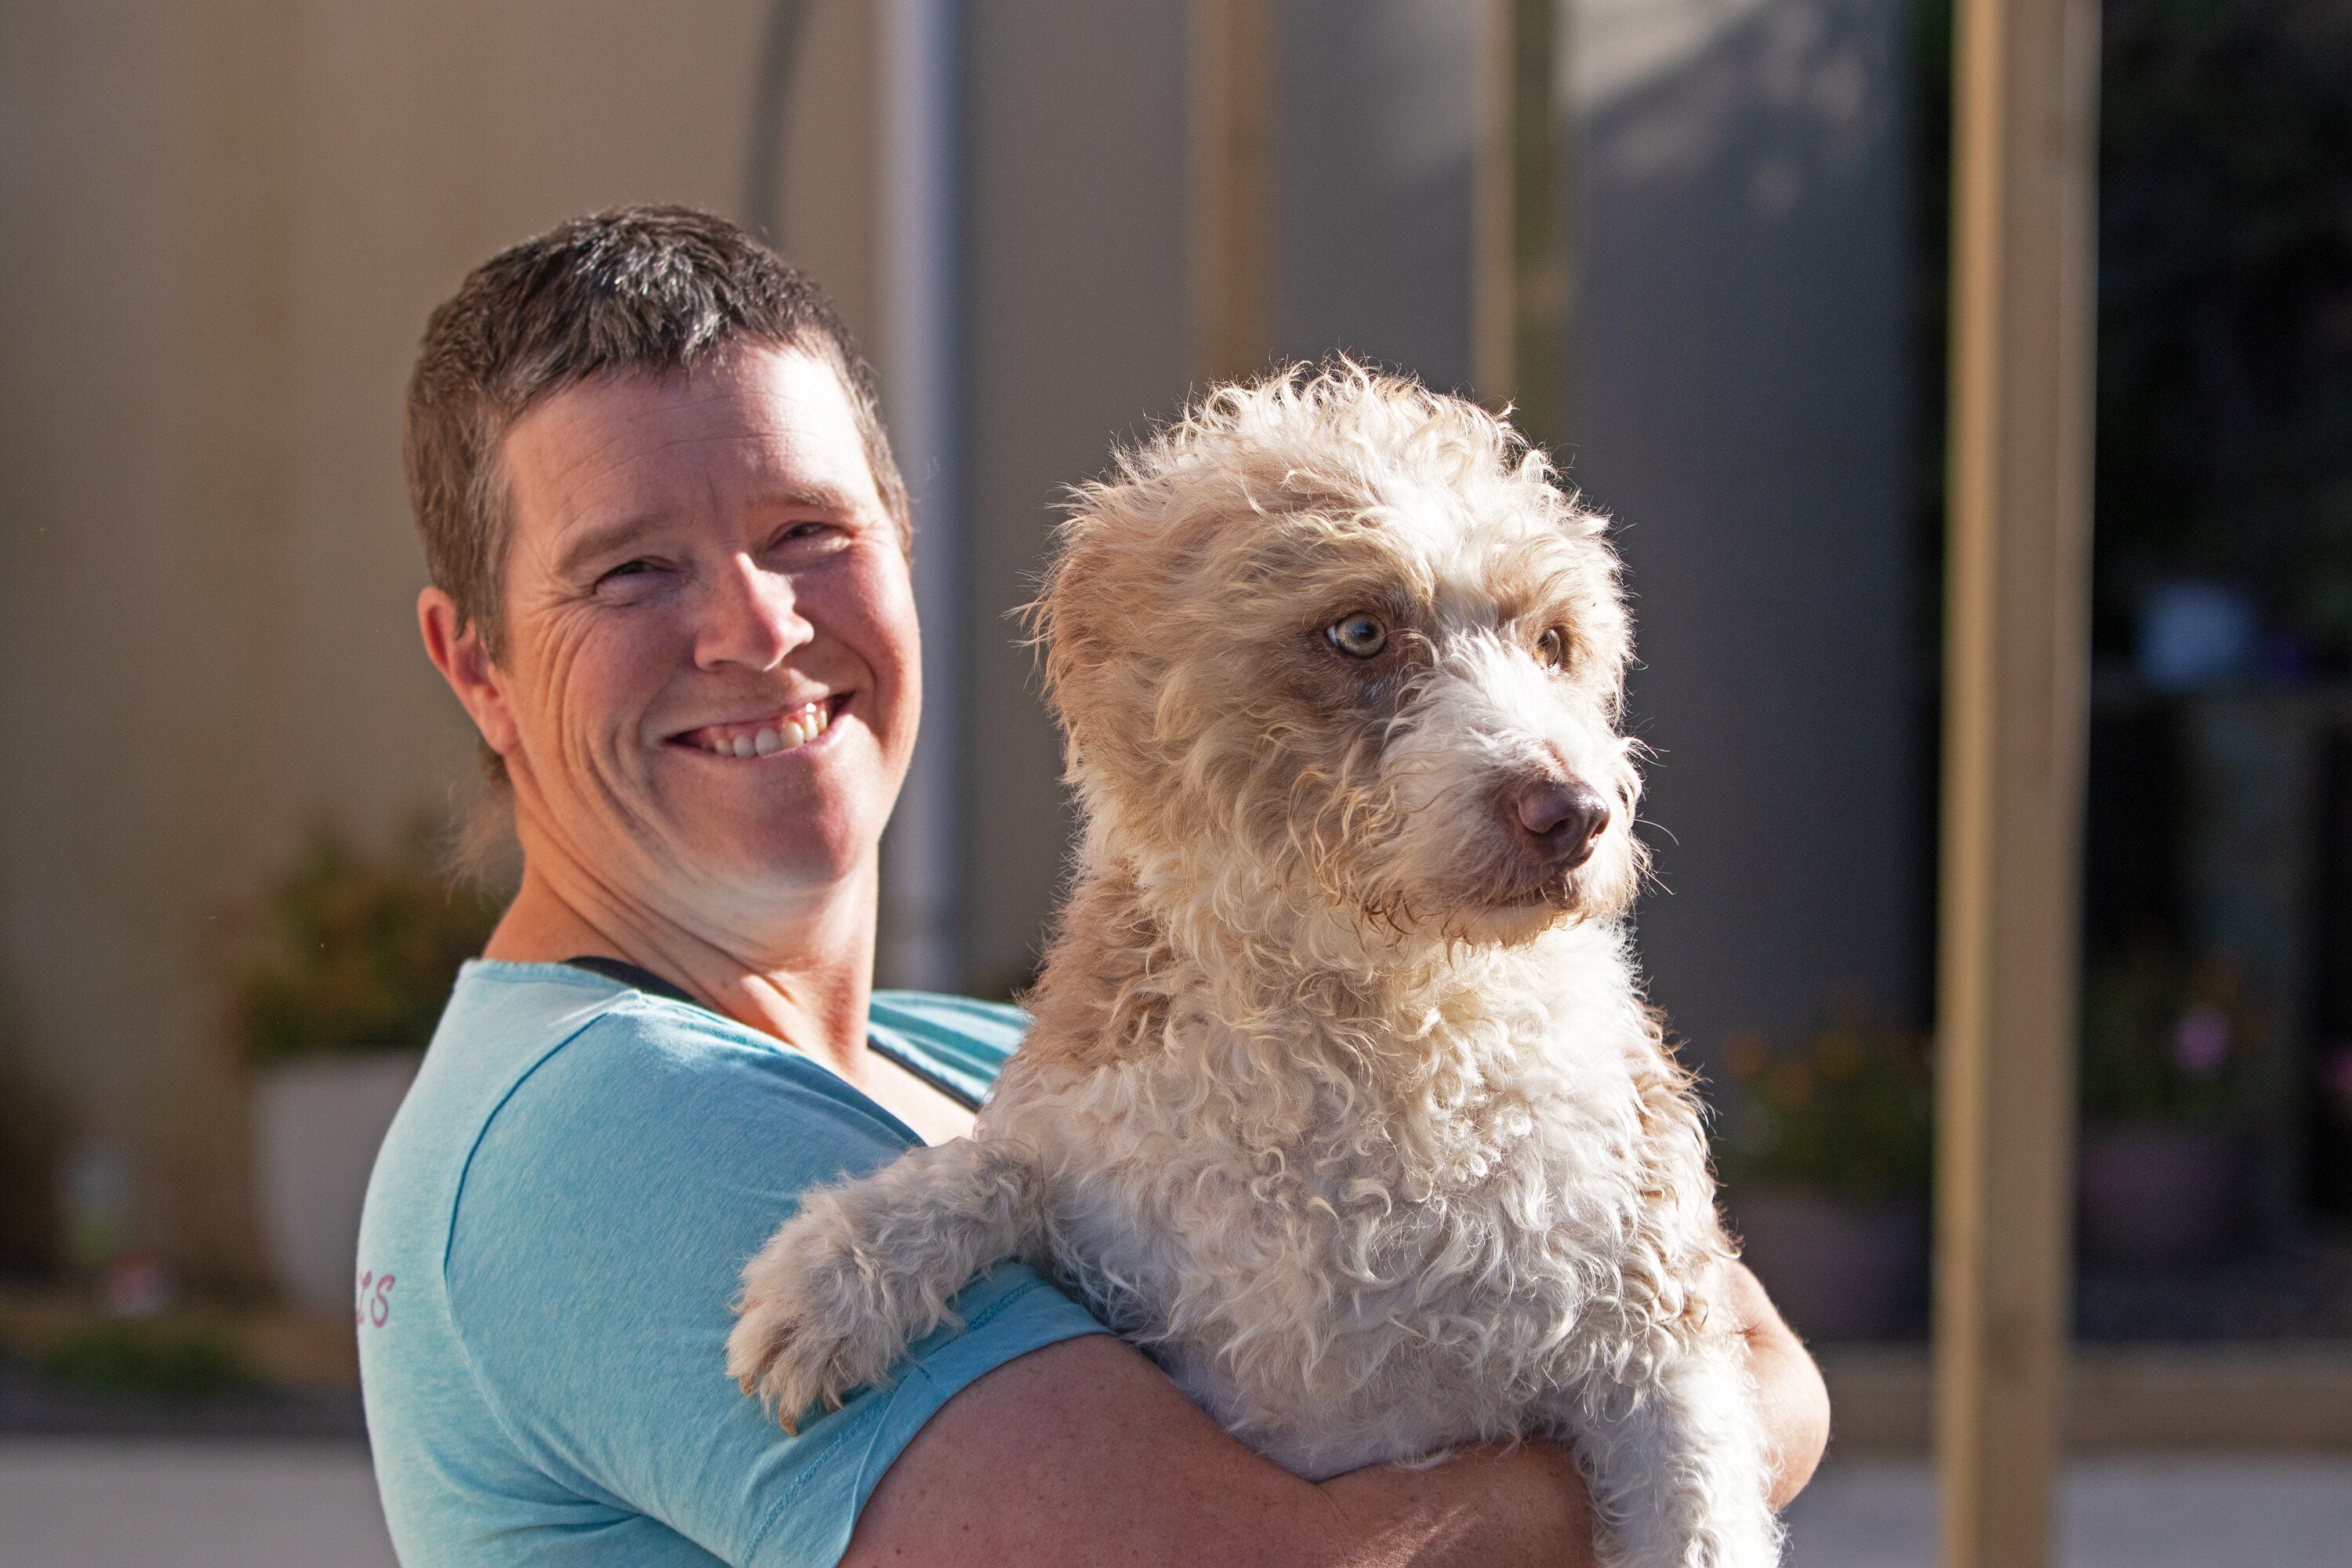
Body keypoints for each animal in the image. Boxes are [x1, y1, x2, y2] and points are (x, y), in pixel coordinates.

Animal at [734, 364, 1778, 1568]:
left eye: (1554, 642)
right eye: (1361, 629)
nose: (1574, 813)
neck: (1371, 1016)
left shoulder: (1662, 1340)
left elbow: (1701, 1519)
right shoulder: (1108, 1170)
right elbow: (1000, 1162)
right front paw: (834, 1276)